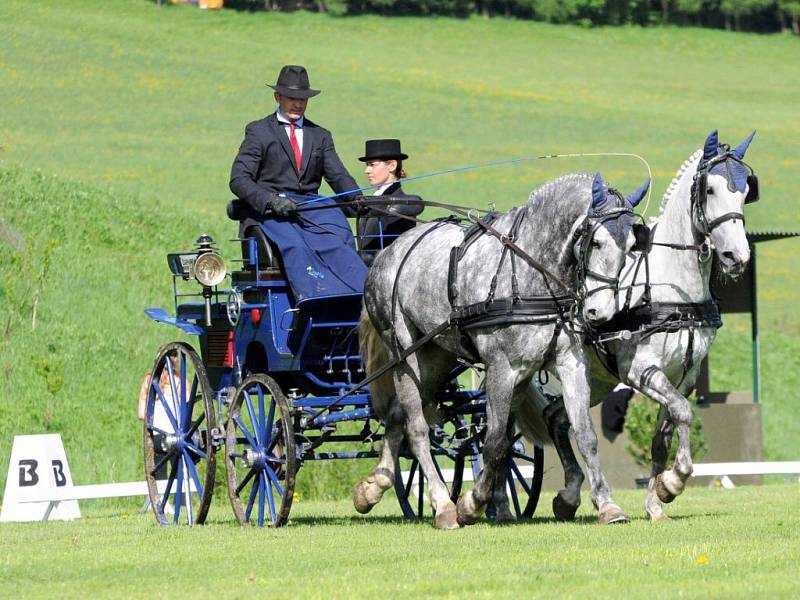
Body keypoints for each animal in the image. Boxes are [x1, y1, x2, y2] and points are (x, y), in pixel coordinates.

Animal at [354, 171, 648, 528]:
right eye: (596, 241)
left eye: (632, 245)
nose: (600, 312)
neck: (532, 273)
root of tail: (387, 254)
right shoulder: (502, 369)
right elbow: (494, 443)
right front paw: (471, 504)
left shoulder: (569, 363)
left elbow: (584, 434)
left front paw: (606, 505)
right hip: (405, 355)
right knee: (417, 427)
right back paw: (443, 506)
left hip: (435, 358)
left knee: (398, 414)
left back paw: (374, 485)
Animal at [516, 130, 760, 520]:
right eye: (709, 189)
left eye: (745, 190)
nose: (736, 257)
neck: (672, 286)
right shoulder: (641, 371)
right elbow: (683, 411)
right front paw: (673, 483)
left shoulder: (684, 375)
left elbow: (663, 436)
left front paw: (657, 500)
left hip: (596, 379)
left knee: (557, 418)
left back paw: (568, 496)